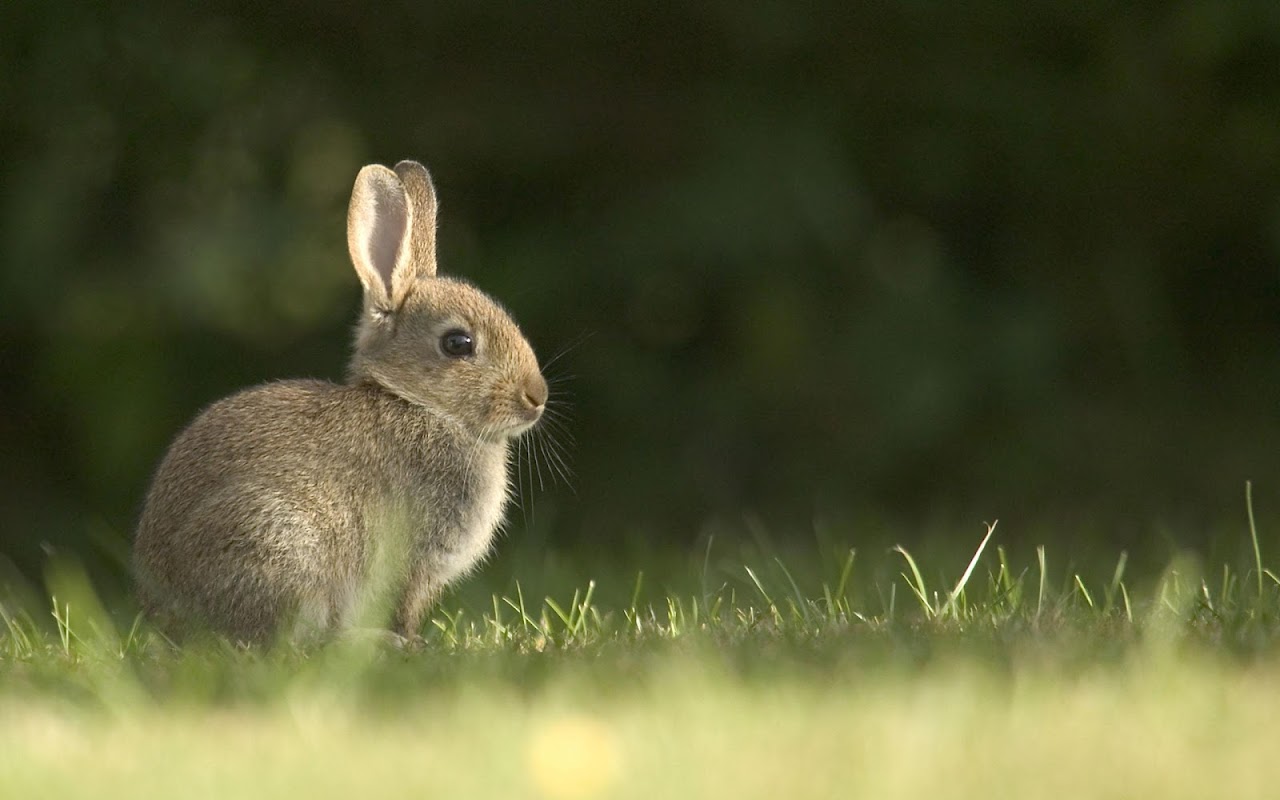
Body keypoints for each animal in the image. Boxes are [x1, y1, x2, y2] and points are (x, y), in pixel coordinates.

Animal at [132, 160, 548, 645]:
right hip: (280, 544)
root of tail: (165, 617)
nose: (536, 397)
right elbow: (402, 607)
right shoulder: (412, 561)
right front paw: (411, 642)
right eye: (457, 343)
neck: (418, 404)